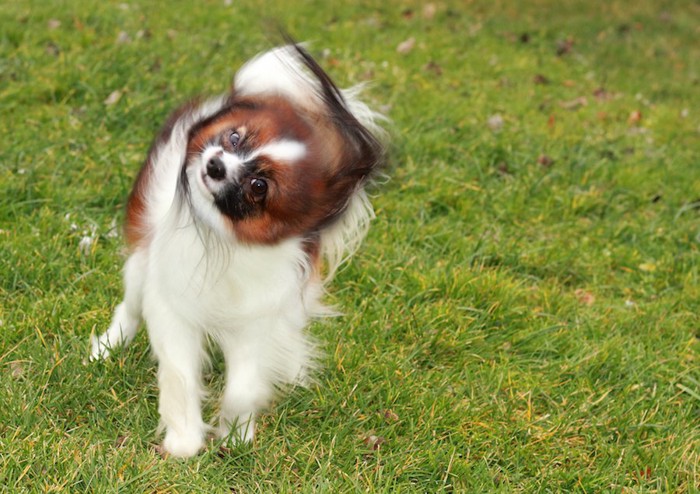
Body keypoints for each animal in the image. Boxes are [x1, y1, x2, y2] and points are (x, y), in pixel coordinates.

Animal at [90, 44, 386, 458]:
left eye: (259, 185)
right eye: (233, 137)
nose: (215, 164)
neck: (228, 242)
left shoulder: (259, 318)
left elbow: (245, 386)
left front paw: (235, 432)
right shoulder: (172, 305)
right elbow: (180, 374)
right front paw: (184, 441)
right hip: (140, 265)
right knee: (130, 306)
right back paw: (109, 345)